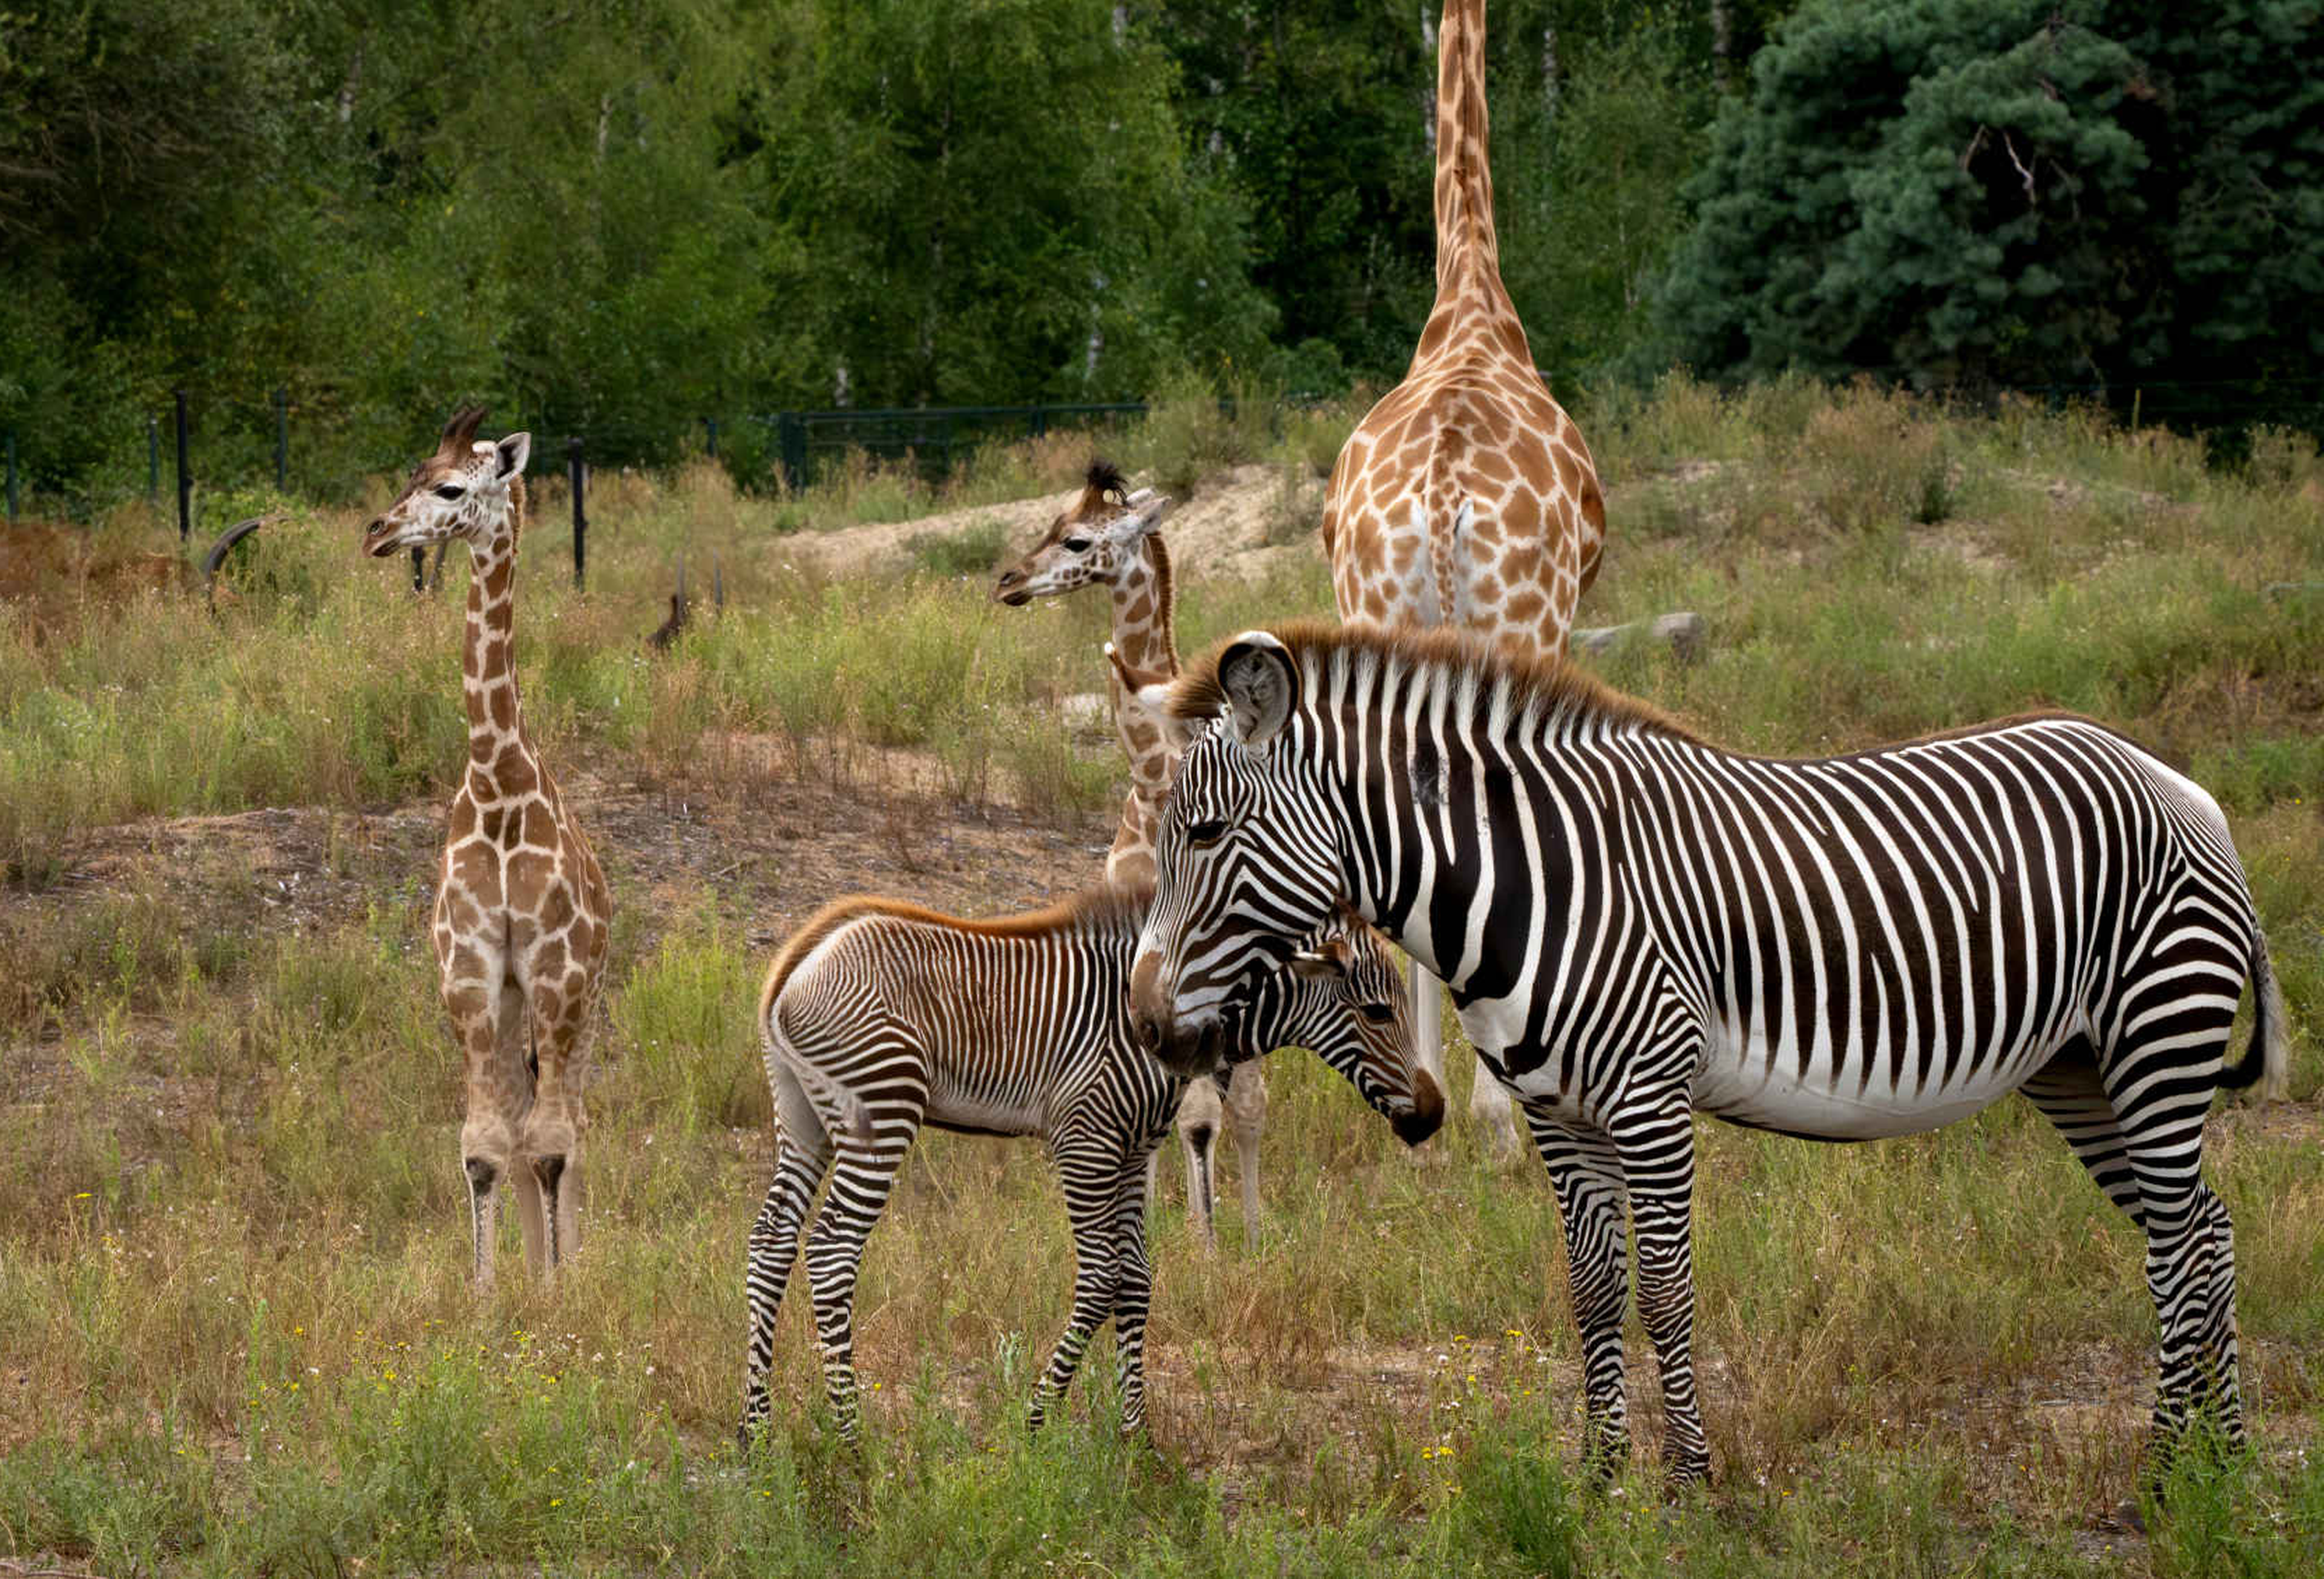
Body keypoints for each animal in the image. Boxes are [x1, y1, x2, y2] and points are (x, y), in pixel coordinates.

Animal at [740, 881, 1443, 1445]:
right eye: (1378, 1010)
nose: (1432, 1116)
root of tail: (798, 959)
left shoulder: (1135, 1149)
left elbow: (1136, 1278)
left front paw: (1137, 1440)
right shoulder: (1088, 1139)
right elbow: (1103, 1277)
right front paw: (1036, 1422)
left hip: (802, 1116)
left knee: (771, 1242)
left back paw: (756, 1432)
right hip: (881, 1111)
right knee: (831, 1250)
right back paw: (851, 1436)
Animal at [1125, 619, 2287, 1483]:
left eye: (1205, 834)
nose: (1140, 1020)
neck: (1533, 881)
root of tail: (2180, 783)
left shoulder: (1650, 1097)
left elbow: (1667, 1288)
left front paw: (1688, 1473)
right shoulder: (1559, 1113)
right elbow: (1594, 1288)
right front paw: (1599, 1474)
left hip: (2157, 1036)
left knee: (2180, 1241)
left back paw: (2169, 1462)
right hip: (2082, 1069)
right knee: (2206, 1230)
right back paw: (2219, 1459)